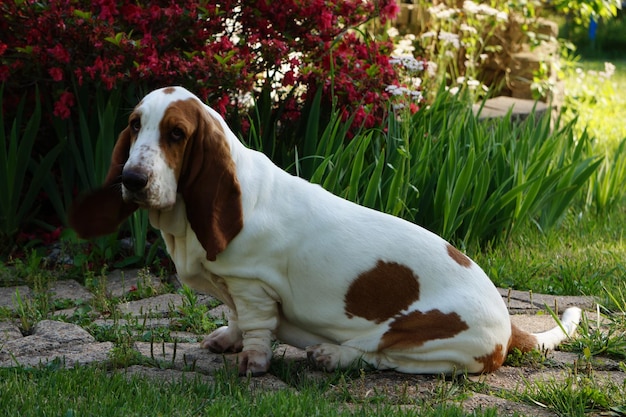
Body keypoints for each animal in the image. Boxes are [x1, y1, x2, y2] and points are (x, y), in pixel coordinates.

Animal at [69, 86, 580, 376]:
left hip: (435, 343)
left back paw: (332, 356)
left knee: (380, 355)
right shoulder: (233, 288)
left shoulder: (253, 287)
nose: (132, 179)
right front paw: (226, 340)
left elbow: (256, 326)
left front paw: (251, 363)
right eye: (135, 126)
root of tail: (509, 326)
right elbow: (234, 317)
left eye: (176, 134)